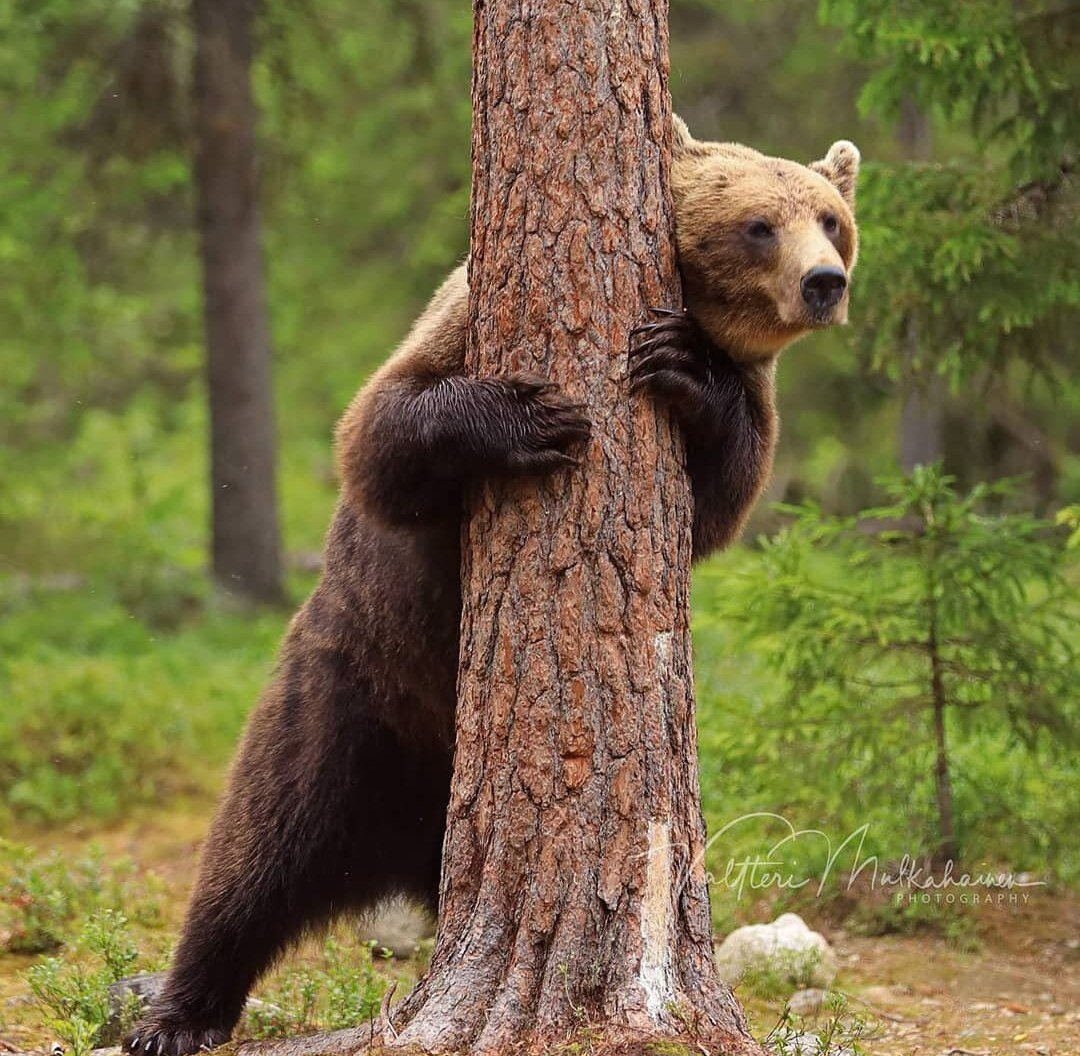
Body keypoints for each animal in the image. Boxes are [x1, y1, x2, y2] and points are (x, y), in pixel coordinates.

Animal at [122, 119, 855, 1049]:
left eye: (830, 218)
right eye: (760, 223)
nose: (824, 282)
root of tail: (407, 849)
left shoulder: (746, 405)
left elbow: (719, 494)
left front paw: (681, 362)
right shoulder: (457, 323)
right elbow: (379, 433)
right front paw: (532, 417)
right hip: (343, 697)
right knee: (254, 857)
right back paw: (176, 1014)